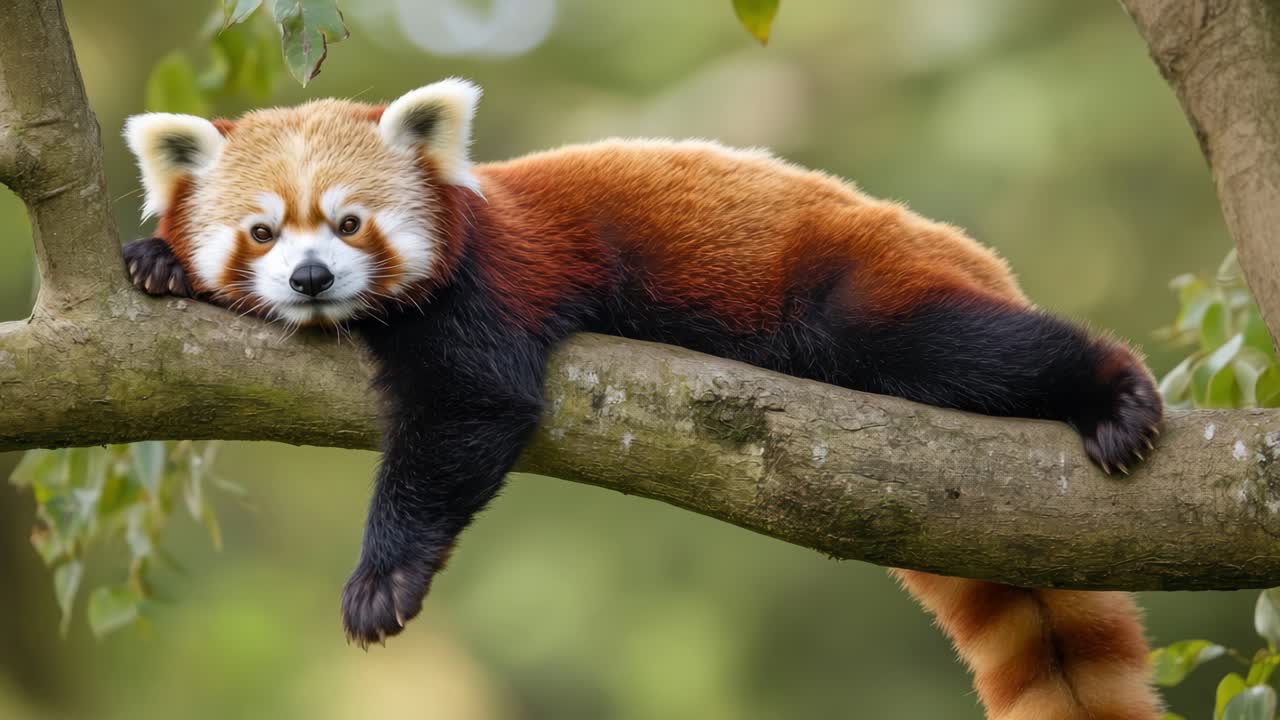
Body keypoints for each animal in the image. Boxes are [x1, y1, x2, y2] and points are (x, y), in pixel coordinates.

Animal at [122, 79, 1163, 720]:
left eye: (348, 223)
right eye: (262, 231)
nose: (308, 278)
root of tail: (952, 245)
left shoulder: (490, 291)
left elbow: (469, 410)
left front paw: (385, 578)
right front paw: (160, 262)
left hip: (862, 292)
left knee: (964, 344)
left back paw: (1113, 395)